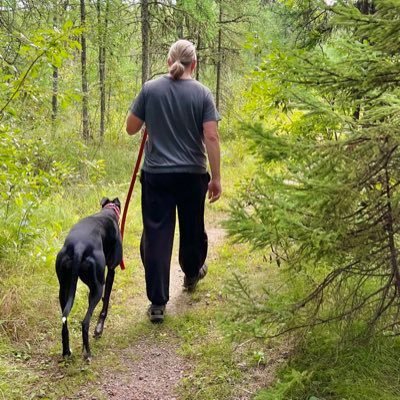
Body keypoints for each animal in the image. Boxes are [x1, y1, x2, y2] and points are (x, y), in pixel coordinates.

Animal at [55, 197, 122, 360]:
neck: (108, 211)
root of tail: (79, 247)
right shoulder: (111, 270)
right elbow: (106, 300)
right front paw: (99, 329)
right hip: (97, 287)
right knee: (85, 322)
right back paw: (88, 353)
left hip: (64, 289)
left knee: (64, 322)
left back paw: (66, 352)